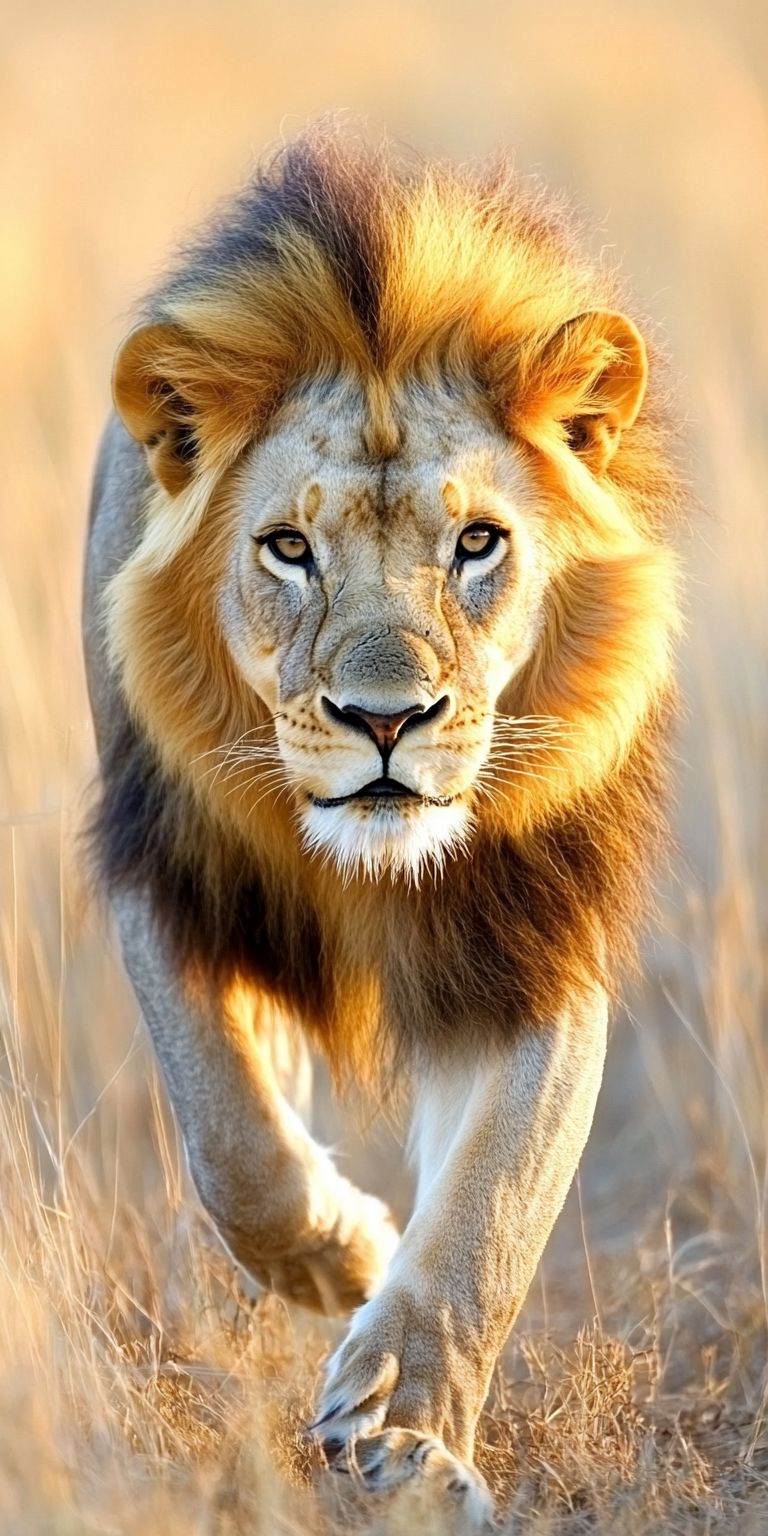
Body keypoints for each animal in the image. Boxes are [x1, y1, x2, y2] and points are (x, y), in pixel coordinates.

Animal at [83, 124, 682, 1525]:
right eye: (288, 549)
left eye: (478, 543)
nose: (386, 719)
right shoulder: (164, 874)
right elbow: (232, 1142)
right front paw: (346, 1257)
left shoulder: (537, 940)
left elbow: (491, 1212)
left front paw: (403, 1437)